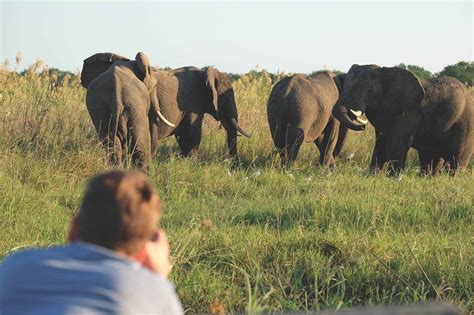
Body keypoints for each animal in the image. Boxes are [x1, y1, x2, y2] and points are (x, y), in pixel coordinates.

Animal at [82, 52, 252, 165]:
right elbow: (192, 135)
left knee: (111, 145)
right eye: (227, 98)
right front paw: (190, 165)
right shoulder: (193, 103)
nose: (234, 166)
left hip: (100, 108)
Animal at [332, 64, 472, 175]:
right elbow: (381, 143)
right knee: (429, 157)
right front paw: (373, 176)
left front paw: (392, 178)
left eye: (369, 90)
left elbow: (397, 143)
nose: (362, 126)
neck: (384, 72)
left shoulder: (408, 112)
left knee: (456, 160)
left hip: (465, 123)